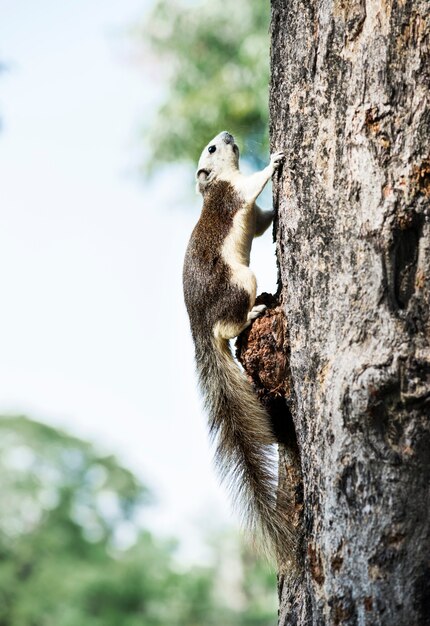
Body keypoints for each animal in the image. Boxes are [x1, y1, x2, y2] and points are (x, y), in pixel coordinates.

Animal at [181, 130, 296, 556]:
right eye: (211, 148)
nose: (227, 134)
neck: (214, 184)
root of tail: (199, 326)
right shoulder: (235, 192)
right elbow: (254, 185)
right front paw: (274, 161)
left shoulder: (249, 210)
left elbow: (261, 222)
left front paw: (278, 212)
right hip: (239, 282)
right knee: (228, 328)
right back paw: (251, 312)